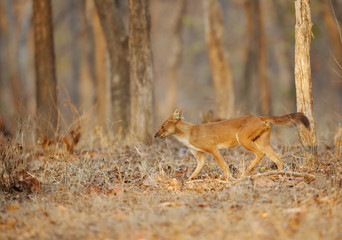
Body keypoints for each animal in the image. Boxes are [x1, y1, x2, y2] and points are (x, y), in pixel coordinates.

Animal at [155, 108, 310, 179]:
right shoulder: (200, 155)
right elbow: (196, 170)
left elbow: (223, 165)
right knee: (278, 159)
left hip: (243, 139)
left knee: (260, 154)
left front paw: (228, 178)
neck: (188, 133)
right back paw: (279, 174)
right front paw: (189, 180)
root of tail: (259, 116)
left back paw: (245, 172)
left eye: (162, 126)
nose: (155, 135)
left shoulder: (212, 149)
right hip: (262, 143)